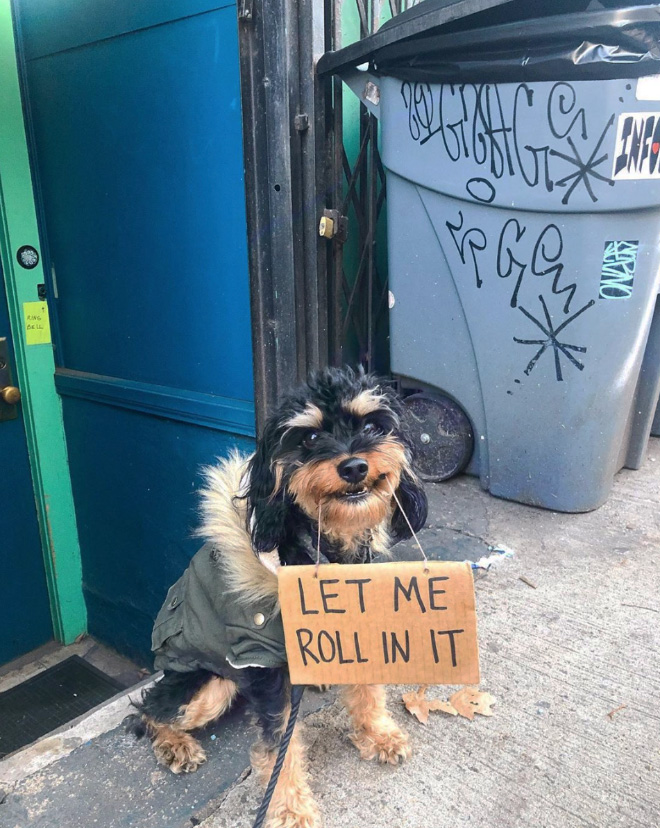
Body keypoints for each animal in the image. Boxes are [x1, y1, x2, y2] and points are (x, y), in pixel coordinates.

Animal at [127, 368, 428, 828]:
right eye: (310, 437)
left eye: (374, 427)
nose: (354, 466)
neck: (325, 551)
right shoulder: (263, 663)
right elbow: (278, 745)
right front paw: (290, 809)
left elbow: (368, 687)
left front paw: (377, 732)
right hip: (208, 686)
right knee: (147, 710)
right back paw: (174, 744)